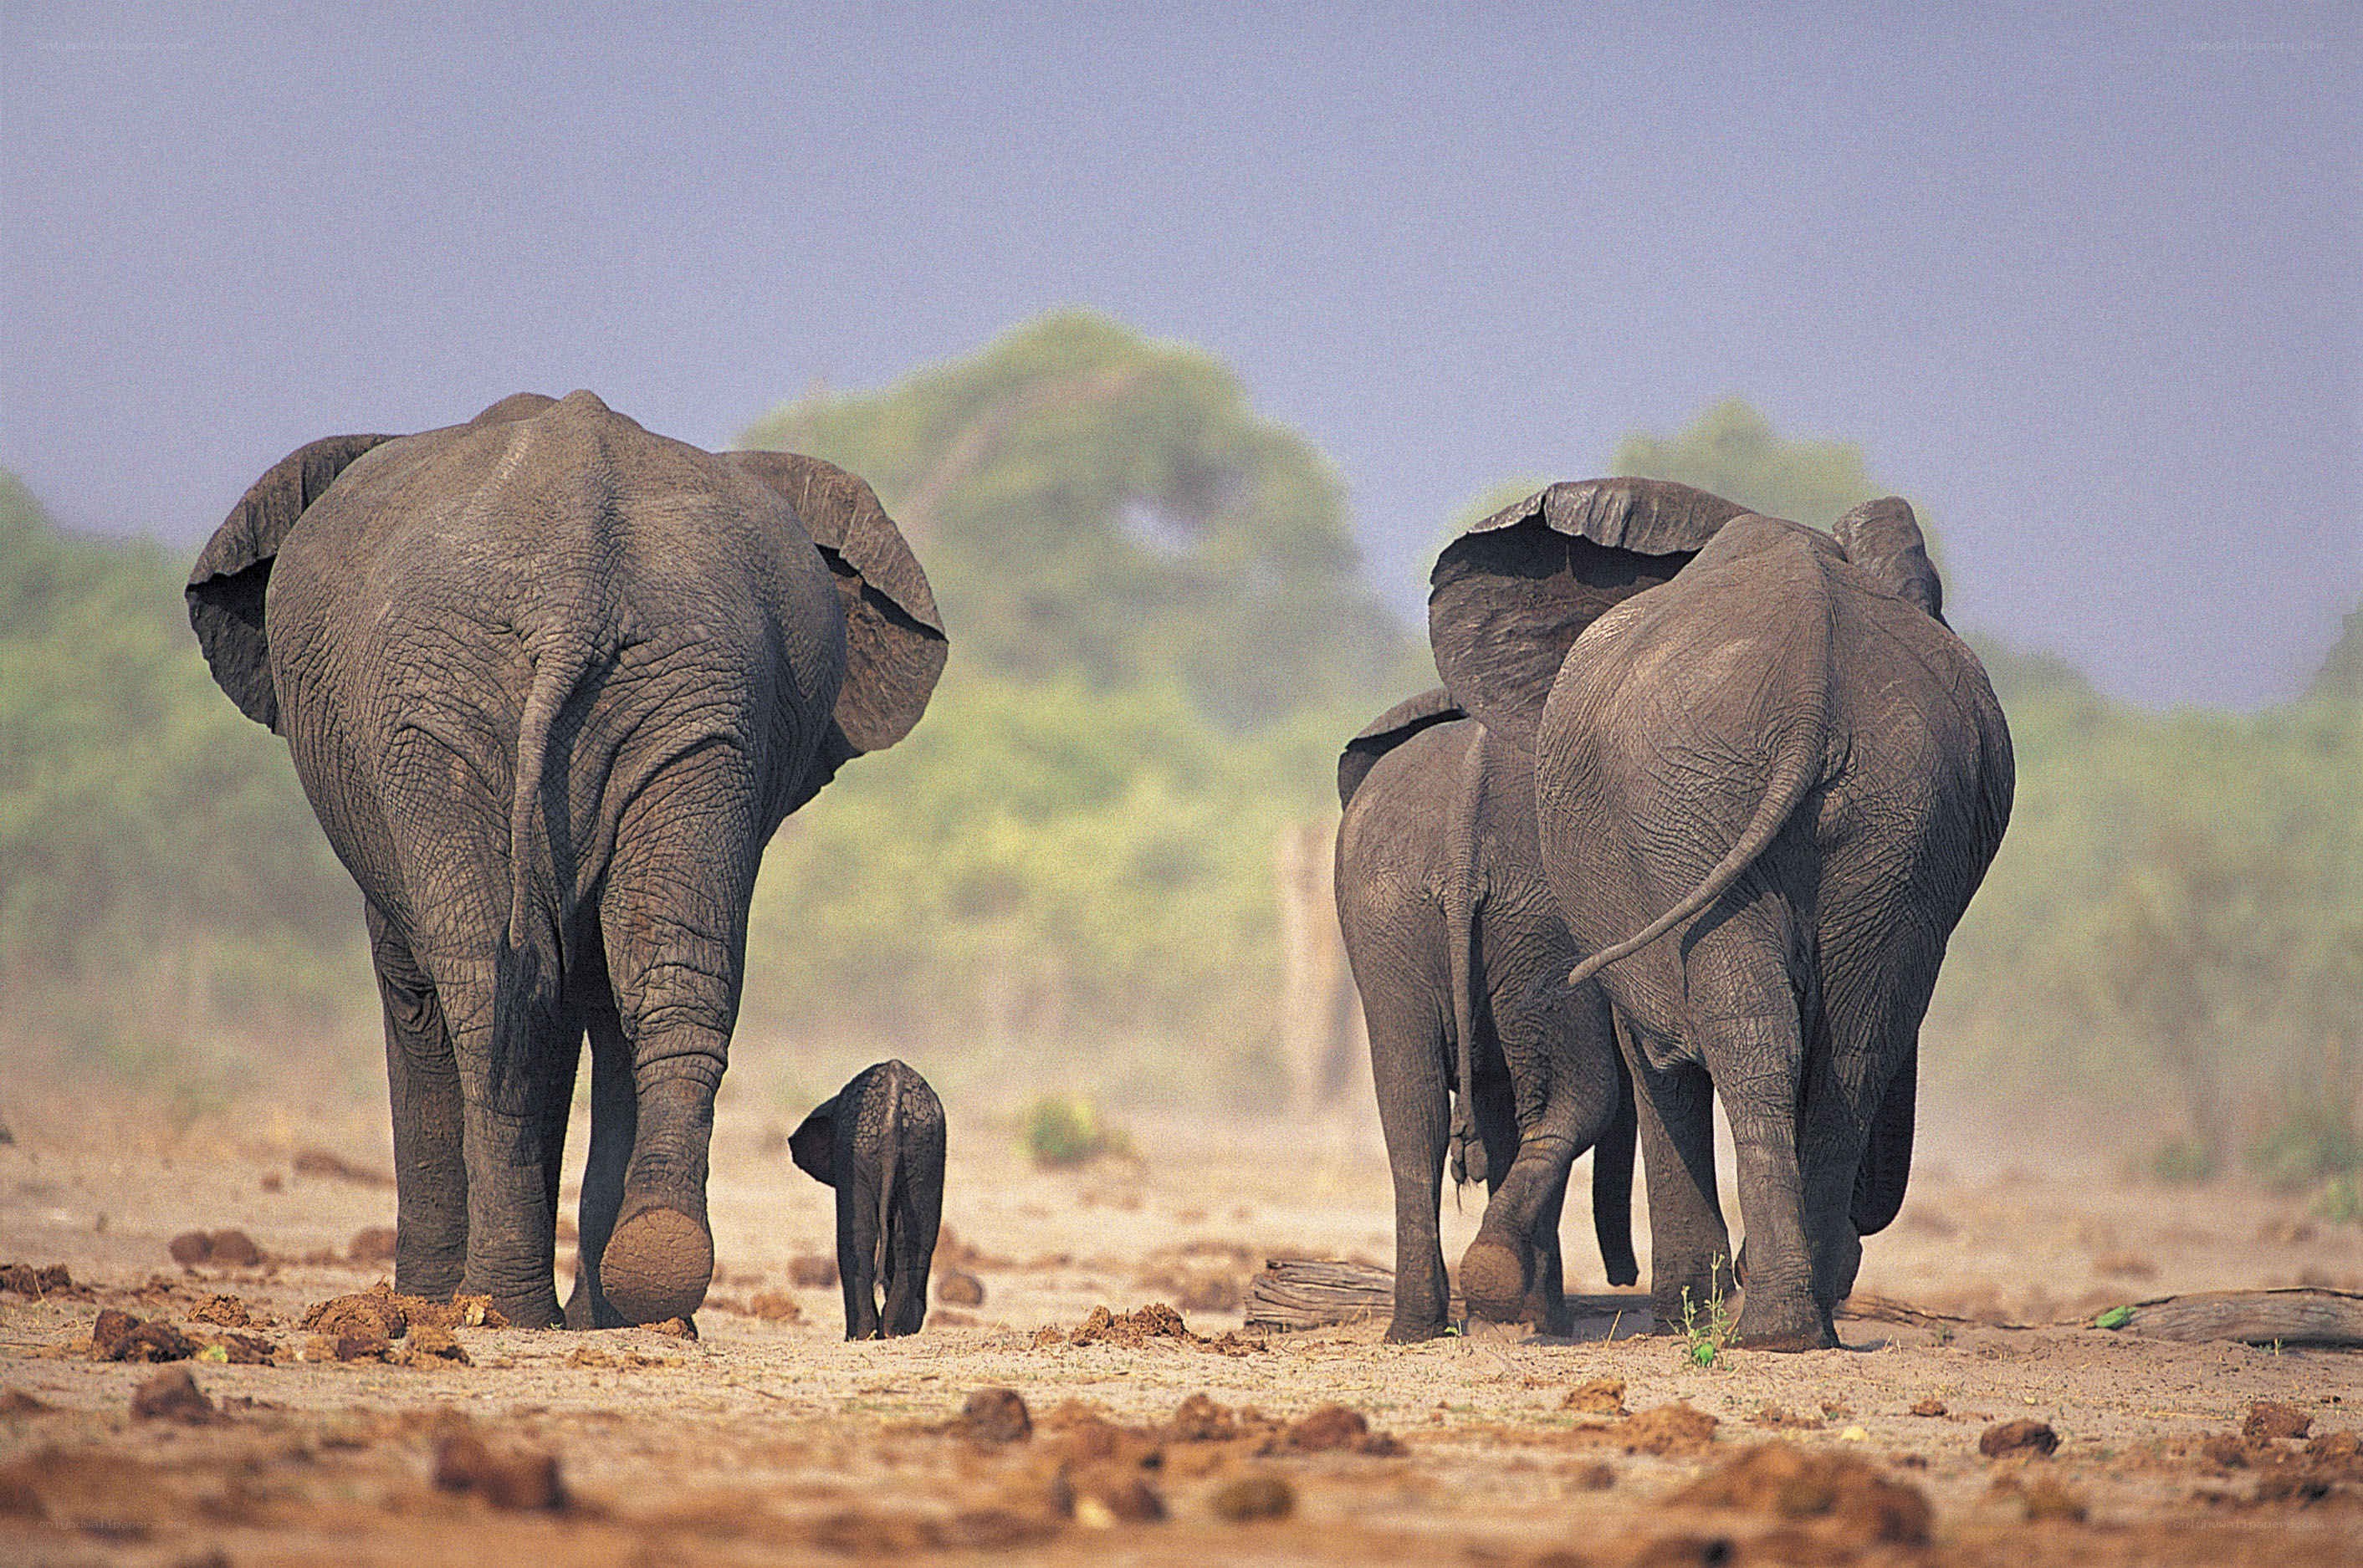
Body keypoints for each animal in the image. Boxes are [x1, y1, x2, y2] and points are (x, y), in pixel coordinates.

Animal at [1334, 688, 1638, 1343]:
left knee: (1413, 1110)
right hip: (1543, 925)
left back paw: (1416, 1329)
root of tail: (1461, 838)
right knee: (1571, 1098)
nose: (1623, 1277)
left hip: (1391, 916)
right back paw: (1526, 1310)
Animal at [1431, 479, 2012, 1350]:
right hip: (1885, 810)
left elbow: (1653, 1052)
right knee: (1850, 1039)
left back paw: (1762, 1318)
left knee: (1752, 1031)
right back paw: (1795, 1319)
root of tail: (1813, 681)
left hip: (1700, 802)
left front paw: (1683, 1309)